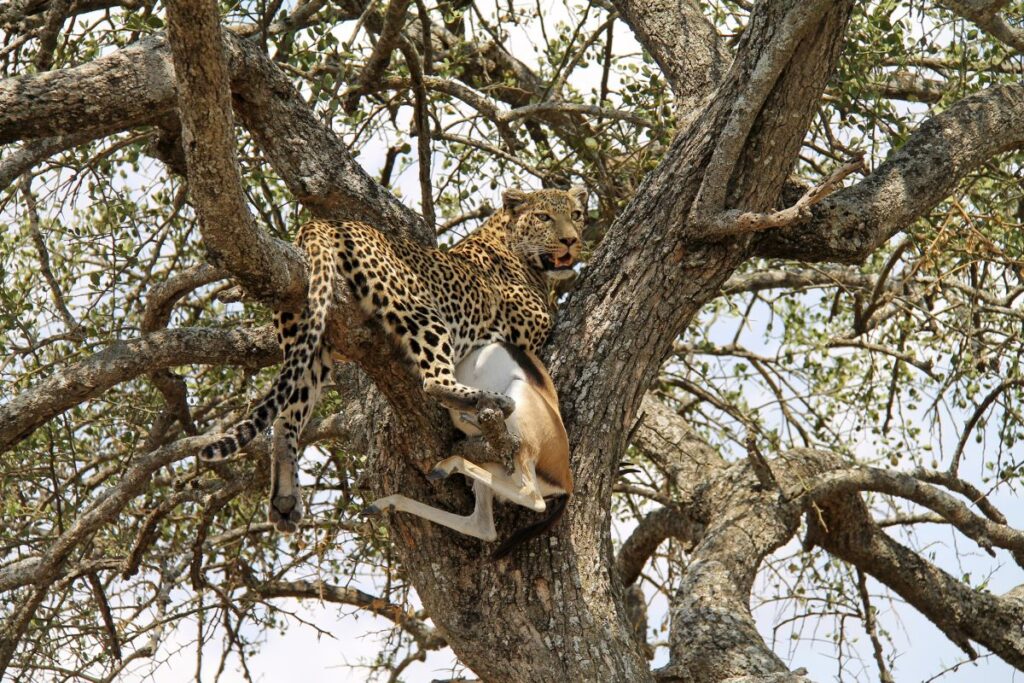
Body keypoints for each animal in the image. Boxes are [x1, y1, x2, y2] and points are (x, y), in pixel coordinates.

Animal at [200, 186, 587, 529]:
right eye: (544, 217)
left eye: (577, 215)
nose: (571, 241)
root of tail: (328, 223)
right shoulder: (531, 334)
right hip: (418, 310)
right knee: (435, 382)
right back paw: (489, 402)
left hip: (310, 335)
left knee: (286, 419)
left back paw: (284, 499)